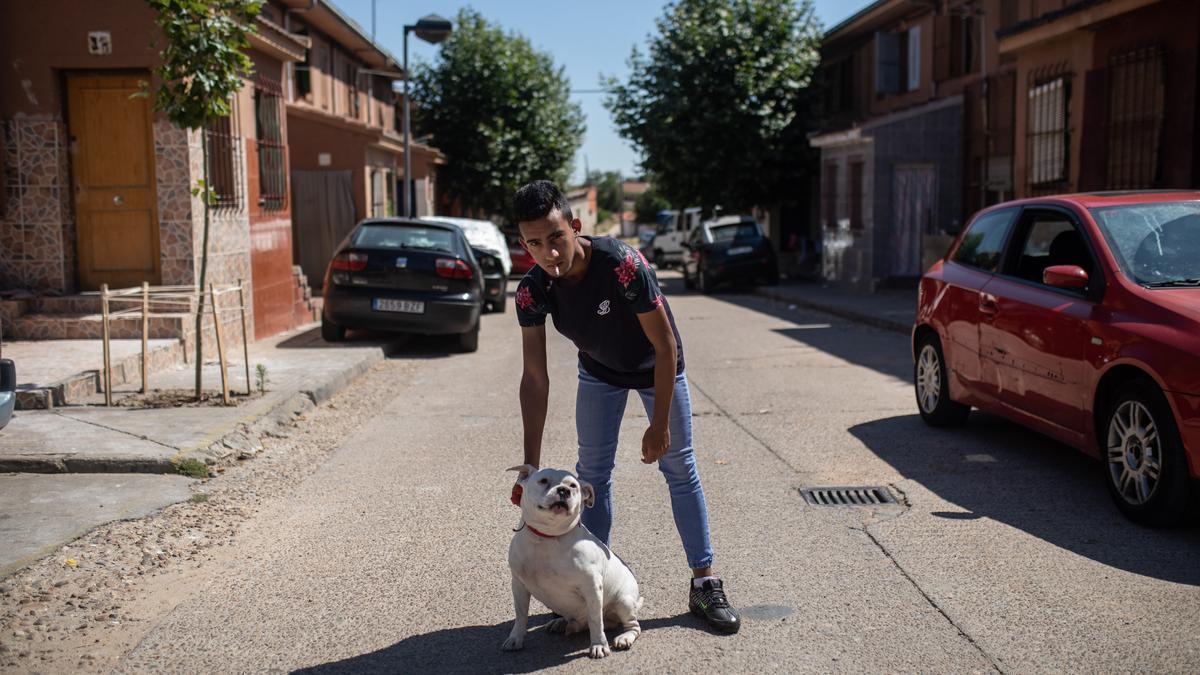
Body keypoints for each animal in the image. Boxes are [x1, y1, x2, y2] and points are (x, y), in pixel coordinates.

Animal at [501, 461, 643, 658]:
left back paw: (625, 638)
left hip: (624, 601)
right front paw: (516, 638)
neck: (548, 537)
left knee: (632, 625)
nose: (563, 490)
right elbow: (521, 615)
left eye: (573, 486)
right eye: (543, 481)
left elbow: (595, 620)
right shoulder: (519, 585)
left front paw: (599, 645)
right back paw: (561, 623)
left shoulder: (592, 587)